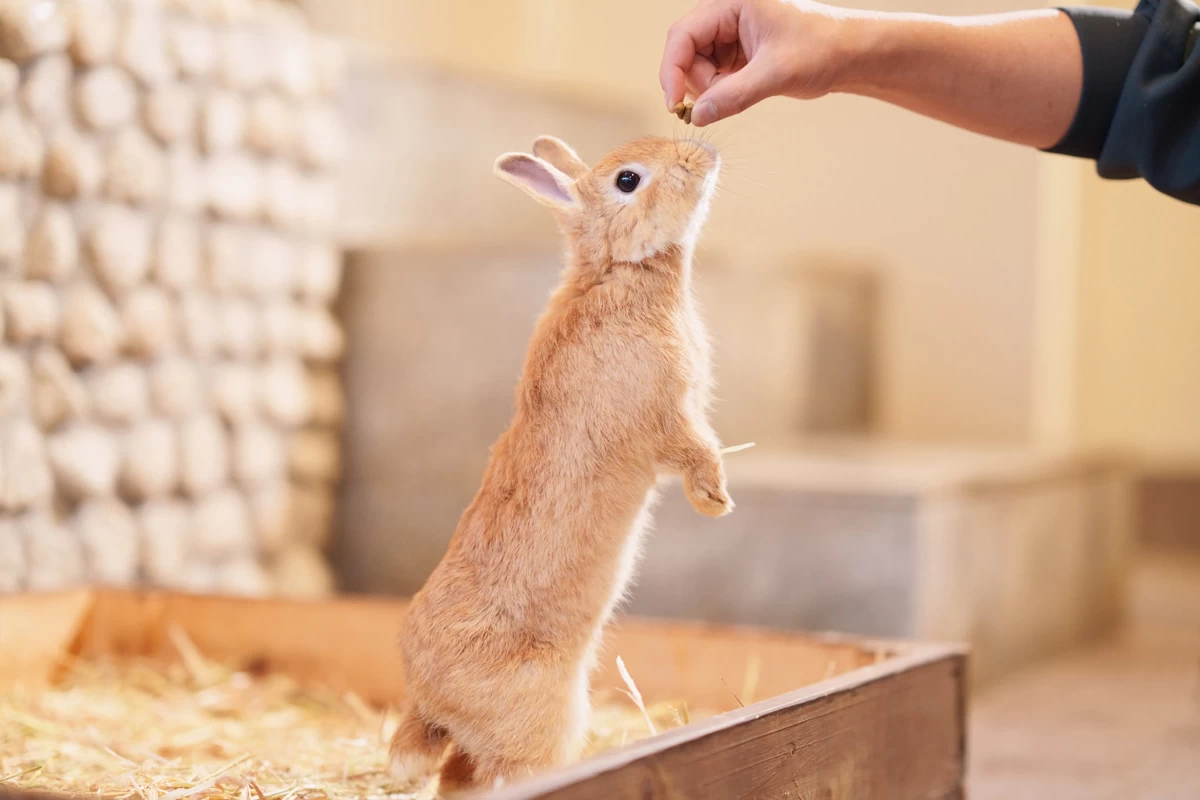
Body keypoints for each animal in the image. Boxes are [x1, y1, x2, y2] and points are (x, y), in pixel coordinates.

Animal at [391, 134, 729, 791]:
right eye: (629, 180)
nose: (705, 152)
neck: (617, 272)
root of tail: (427, 695)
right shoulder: (666, 417)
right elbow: (694, 451)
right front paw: (717, 502)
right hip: (544, 722)